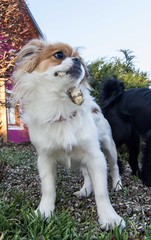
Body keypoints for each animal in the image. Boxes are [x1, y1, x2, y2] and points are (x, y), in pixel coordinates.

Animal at [12, 38, 125, 230]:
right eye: (59, 55)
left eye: (81, 60)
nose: (78, 61)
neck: (60, 106)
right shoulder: (45, 159)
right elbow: (48, 189)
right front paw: (44, 212)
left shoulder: (96, 156)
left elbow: (102, 192)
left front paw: (110, 218)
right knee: (86, 174)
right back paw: (85, 189)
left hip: (109, 147)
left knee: (115, 165)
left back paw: (117, 184)